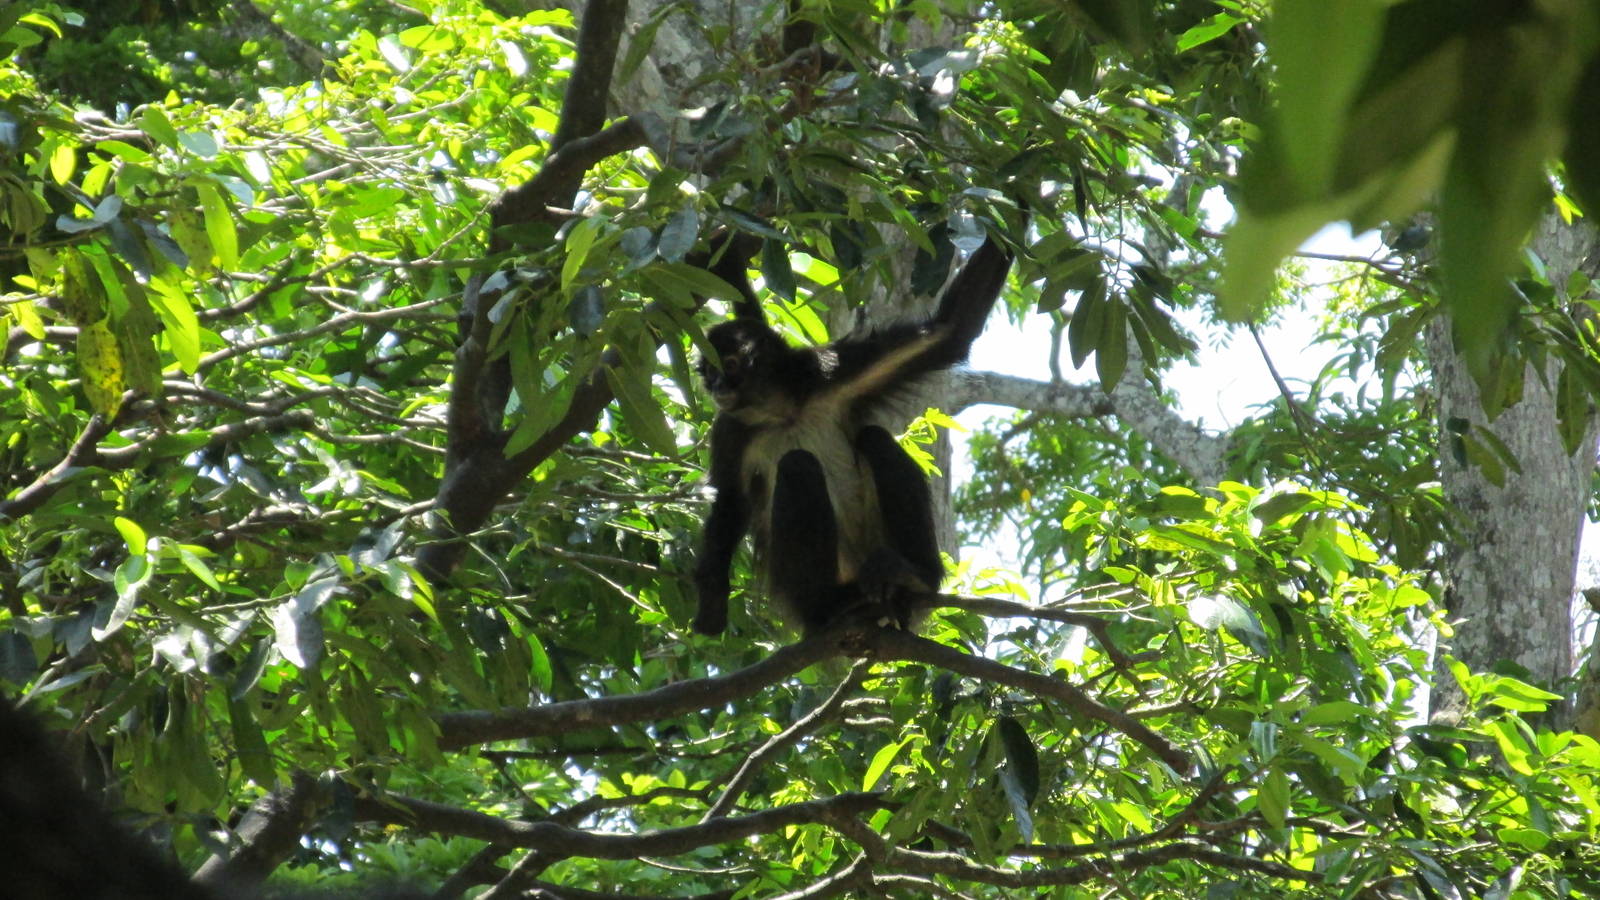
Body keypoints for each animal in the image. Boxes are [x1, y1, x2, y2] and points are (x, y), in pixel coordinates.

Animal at [690, 225, 1014, 637]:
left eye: (727, 365)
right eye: (708, 373)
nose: (717, 387)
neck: (784, 411)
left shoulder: (832, 370)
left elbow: (950, 330)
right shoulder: (730, 429)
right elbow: (730, 501)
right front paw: (712, 602)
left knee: (872, 438)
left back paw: (912, 577)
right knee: (798, 464)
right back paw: (827, 606)